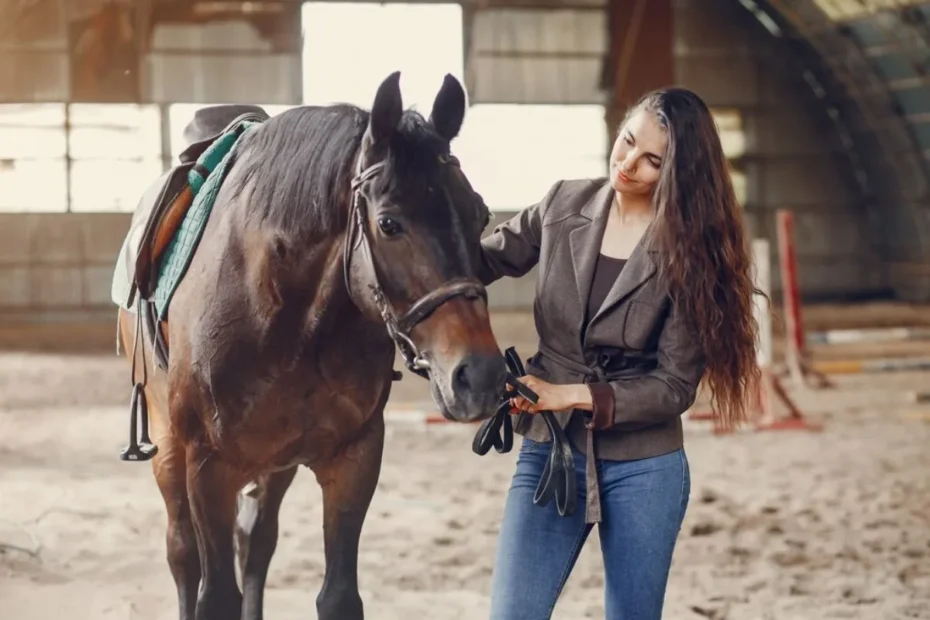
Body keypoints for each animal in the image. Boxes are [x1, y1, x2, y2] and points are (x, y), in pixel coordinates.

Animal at [117, 70, 512, 616]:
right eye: (389, 223)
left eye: (479, 216)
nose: (480, 376)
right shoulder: (207, 466)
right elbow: (214, 595)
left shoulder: (354, 458)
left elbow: (338, 595)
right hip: (169, 449)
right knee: (183, 555)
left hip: (273, 463)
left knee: (255, 544)